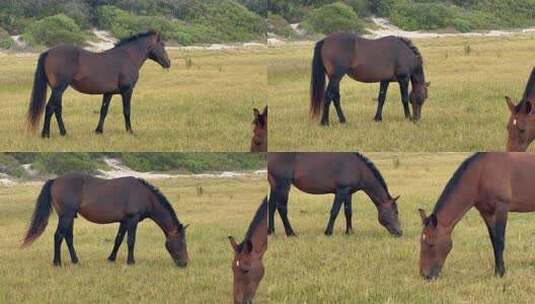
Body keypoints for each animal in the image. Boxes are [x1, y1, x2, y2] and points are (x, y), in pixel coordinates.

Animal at [21, 172, 188, 268]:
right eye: (182, 242)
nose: (184, 263)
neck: (144, 195)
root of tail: (55, 180)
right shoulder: (132, 220)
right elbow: (131, 241)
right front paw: (131, 262)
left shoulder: (124, 221)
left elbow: (118, 240)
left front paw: (111, 259)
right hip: (66, 216)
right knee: (58, 236)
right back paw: (57, 263)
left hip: (69, 217)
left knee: (68, 237)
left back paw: (75, 261)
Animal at [26, 29, 172, 138]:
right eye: (162, 45)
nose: (168, 63)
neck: (128, 57)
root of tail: (48, 52)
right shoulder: (127, 91)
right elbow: (127, 111)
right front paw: (130, 132)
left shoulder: (108, 93)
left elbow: (103, 111)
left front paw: (98, 131)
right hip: (59, 88)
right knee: (50, 107)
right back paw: (46, 134)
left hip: (58, 90)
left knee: (57, 109)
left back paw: (64, 133)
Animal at [268, 153, 402, 236]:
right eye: (396, 212)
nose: (400, 233)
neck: (358, 168)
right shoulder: (341, 190)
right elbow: (334, 211)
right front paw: (328, 232)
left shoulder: (348, 192)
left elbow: (348, 212)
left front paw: (349, 232)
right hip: (283, 184)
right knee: (282, 208)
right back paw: (291, 233)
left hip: (274, 185)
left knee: (271, 206)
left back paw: (271, 232)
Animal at [418, 152, 535, 280]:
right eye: (421, 242)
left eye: (431, 244)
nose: (425, 275)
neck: (481, 174)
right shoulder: (486, 213)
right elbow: (494, 241)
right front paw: (497, 272)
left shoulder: (502, 208)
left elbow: (500, 240)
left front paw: (501, 273)